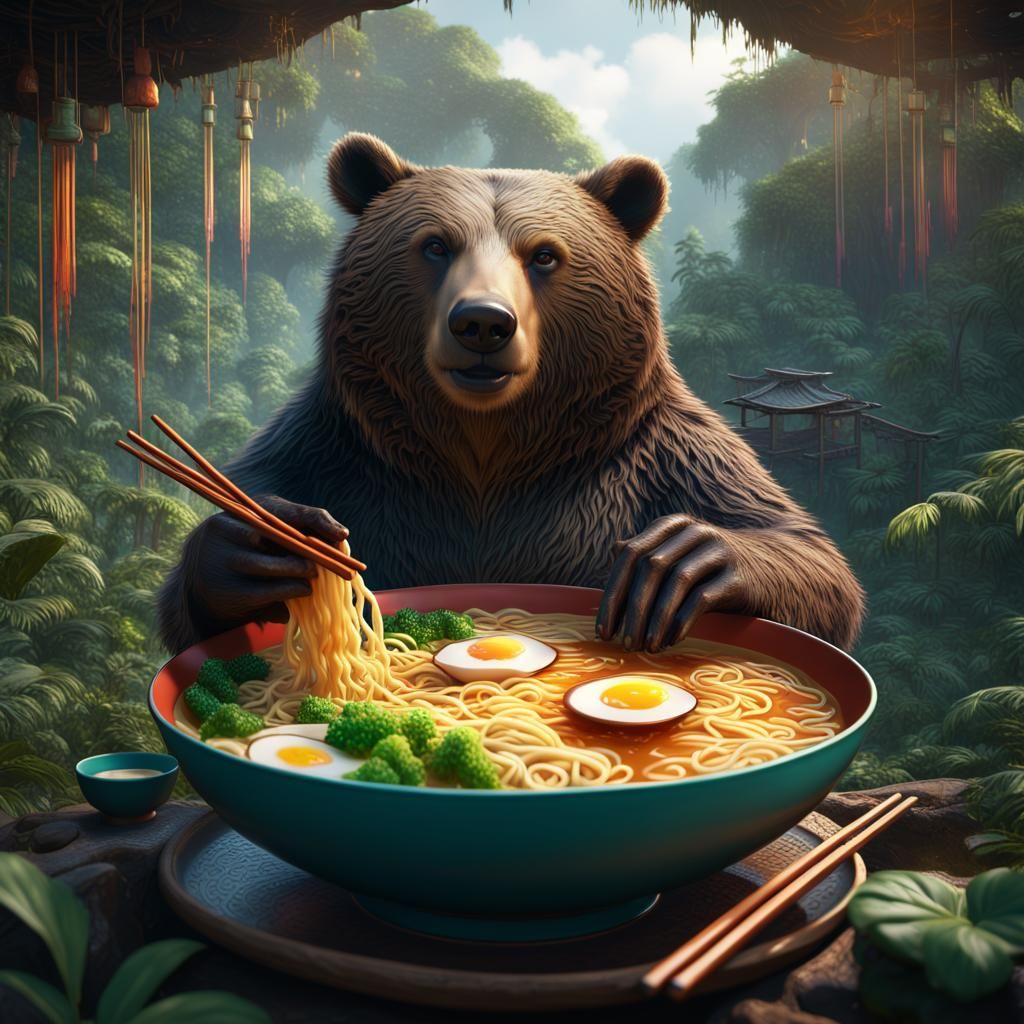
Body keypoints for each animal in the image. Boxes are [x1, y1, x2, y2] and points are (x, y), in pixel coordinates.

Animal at [158, 133, 864, 656]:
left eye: (544, 254)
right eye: (435, 245)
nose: (482, 323)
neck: (486, 450)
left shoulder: (654, 452)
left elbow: (805, 551)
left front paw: (673, 563)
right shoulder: (338, 450)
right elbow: (203, 573)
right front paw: (265, 545)